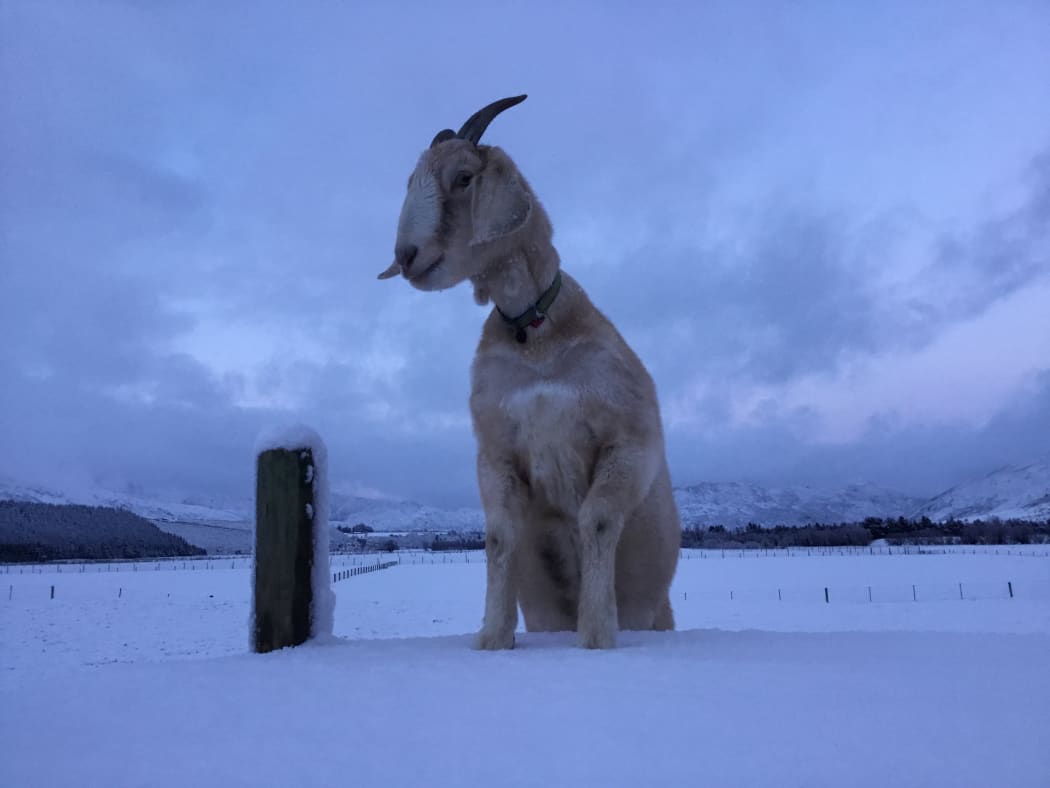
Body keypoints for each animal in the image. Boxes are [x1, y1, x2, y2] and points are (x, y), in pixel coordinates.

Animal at [378, 95, 680, 649]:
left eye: (464, 177)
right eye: (413, 180)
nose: (406, 257)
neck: (534, 334)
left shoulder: (631, 439)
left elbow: (597, 520)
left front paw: (597, 633)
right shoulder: (497, 449)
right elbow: (500, 534)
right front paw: (493, 638)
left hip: (659, 609)